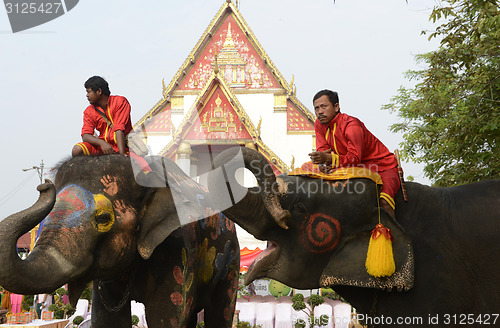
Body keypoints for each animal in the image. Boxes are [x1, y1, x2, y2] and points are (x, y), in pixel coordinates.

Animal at [0, 154, 240, 328]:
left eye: (103, 218)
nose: (44, 186)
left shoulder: (180, 246)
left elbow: (166, 315)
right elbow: (108, 319)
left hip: (231, 259)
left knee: (222, 310)